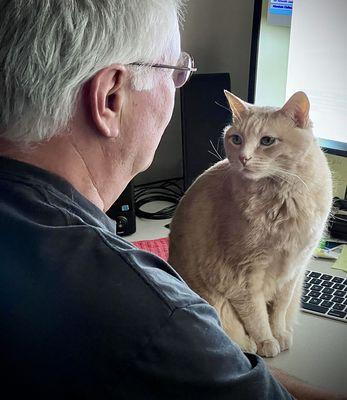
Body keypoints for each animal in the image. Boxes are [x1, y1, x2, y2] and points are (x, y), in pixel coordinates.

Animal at [170, 91, 334, 360]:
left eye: (267, 141)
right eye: (236, 139)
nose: (243, 157)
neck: (283, 200)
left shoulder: (293, 272)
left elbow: (279, 310)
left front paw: (279, 334)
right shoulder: (243, 275)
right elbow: (256, 316)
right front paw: (266, 341)